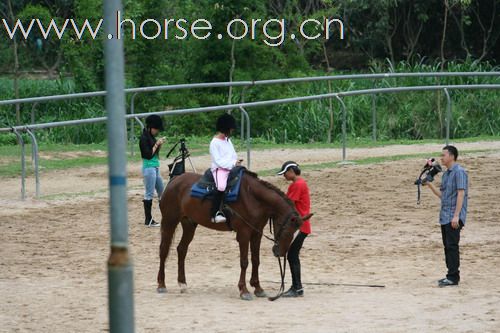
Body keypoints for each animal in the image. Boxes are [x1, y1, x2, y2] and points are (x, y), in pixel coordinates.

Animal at [158, 170, 310, 300]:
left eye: (295, 232)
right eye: (286, 230)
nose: (280, 253)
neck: (253, 198)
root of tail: (174, 180)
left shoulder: (257, 233)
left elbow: (256, 260)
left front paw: (258, 288)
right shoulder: (244, 234)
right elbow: (244, 262)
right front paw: (244, 290)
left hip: (189, 224)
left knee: (181, 249)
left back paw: (182, 284)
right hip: (169, 221)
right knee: (164, 250)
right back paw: (161, 285)